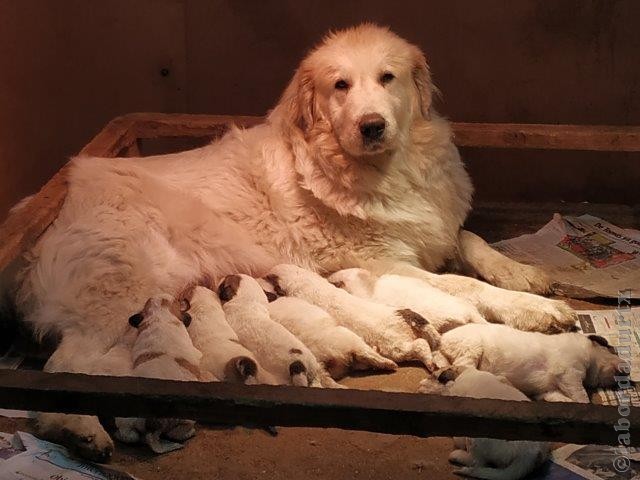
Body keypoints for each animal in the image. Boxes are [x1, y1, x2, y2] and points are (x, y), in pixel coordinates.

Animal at [438, 322, 624, 402]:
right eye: (612, 349)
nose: (627, 373)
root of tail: (442, 340)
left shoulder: (550, 390)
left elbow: (559, 398)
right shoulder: (569, 371)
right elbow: (582, 396)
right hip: (472, 347)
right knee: (466, 367)